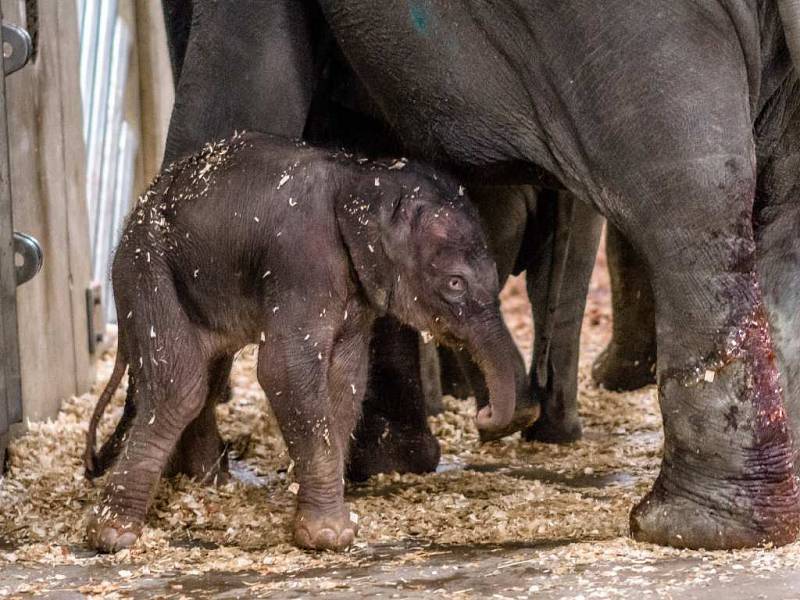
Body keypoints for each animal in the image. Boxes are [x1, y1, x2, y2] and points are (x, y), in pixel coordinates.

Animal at [84, 131, 536, 552]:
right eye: (455, 283)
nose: (486, 416)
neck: (363, 176)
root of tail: (137, 210)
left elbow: (345, 380)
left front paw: (324, 520)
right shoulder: (303, 265)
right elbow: (284, 370)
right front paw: (329, 537)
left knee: (207, 378)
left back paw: (212, 484)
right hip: (146, 270)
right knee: (181, 386)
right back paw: (113, 535)